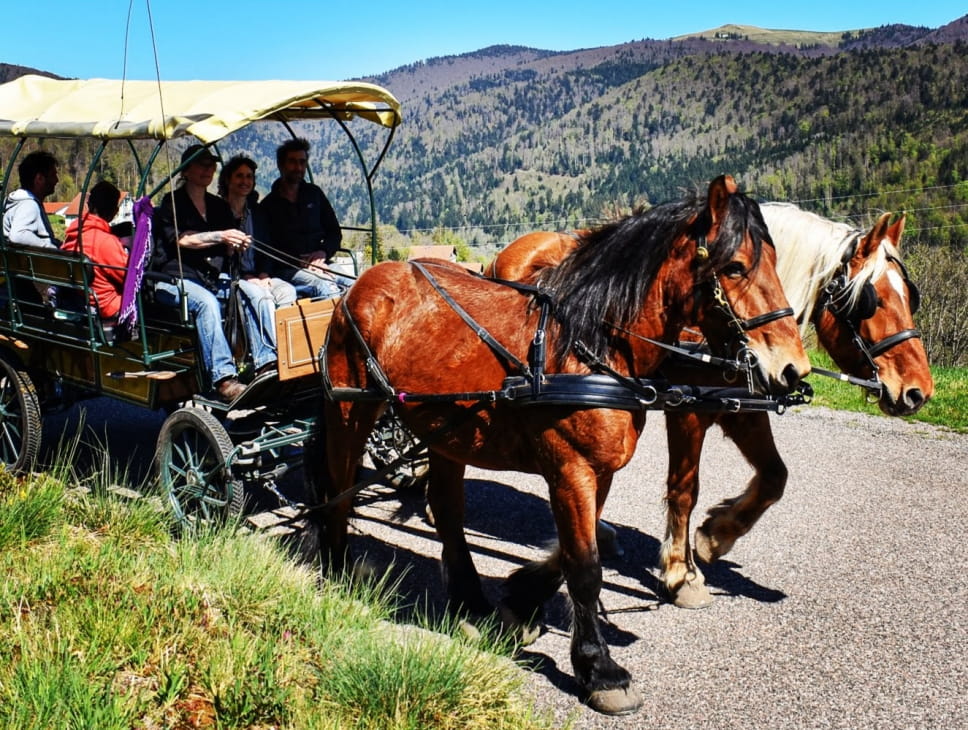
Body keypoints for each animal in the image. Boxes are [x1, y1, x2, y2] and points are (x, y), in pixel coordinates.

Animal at [488, 199, 932, 608]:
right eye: (871, 301)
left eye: (910, 296)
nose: (918, 391)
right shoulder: (688, 411)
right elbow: (685, 488)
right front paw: (681, 572)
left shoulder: (743, 409)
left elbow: (775, 476)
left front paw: (717, 534)